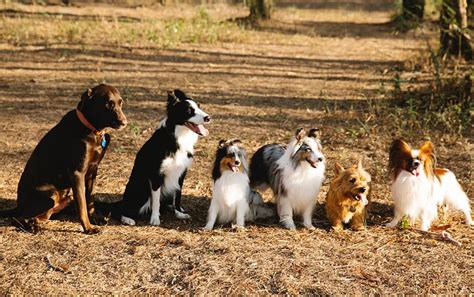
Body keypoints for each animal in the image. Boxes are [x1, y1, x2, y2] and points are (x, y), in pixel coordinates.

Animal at [112, 89, 210, 225]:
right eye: (188, 111)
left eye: (199, 106)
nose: (208, 118)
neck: (177, 137)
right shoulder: (156, 175)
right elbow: (156, 200)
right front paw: (155, 218)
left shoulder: (181, 173)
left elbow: (178, 195)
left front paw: (179, 213)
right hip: (141, 190)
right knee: (118, 210)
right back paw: (127, 219)